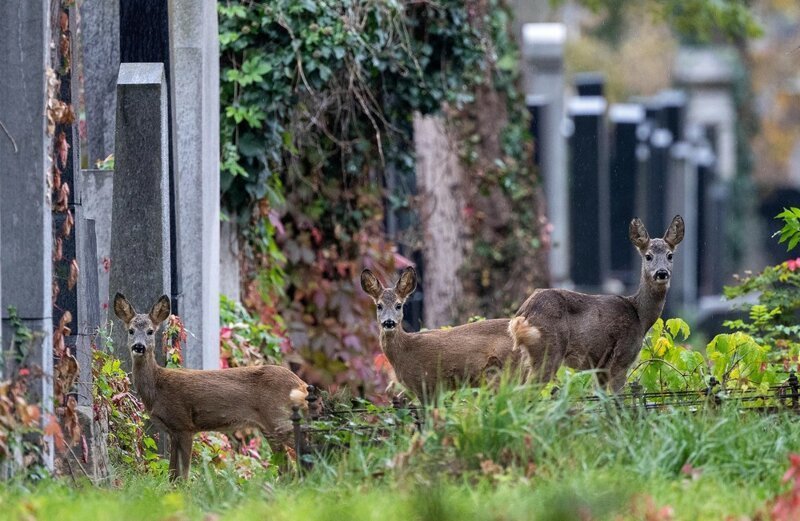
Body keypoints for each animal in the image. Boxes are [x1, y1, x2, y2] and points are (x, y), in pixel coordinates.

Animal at [112, 292, 312, 480]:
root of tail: (301, 384)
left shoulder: (184, 425)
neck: (157, 388)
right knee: (287, 467)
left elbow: (183, 475)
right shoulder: (173, 431)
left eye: (150, 331)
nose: (139, 347)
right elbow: (172, 474)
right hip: (270, 427)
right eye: (131, 330)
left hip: (280, 418)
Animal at [360, 266, 524, 400]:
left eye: (398, 305)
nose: (389, 322)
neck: (405, 351)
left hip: (509, 370)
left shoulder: (425, 382)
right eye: (379, 306)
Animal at [510, 214, 684, 390]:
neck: (640, 317)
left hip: (524, 357)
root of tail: (523, 313)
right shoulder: (622, 356)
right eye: (648, 256)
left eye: (670, 255)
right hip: (549, 348)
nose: (661, 273)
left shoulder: (600, 367)